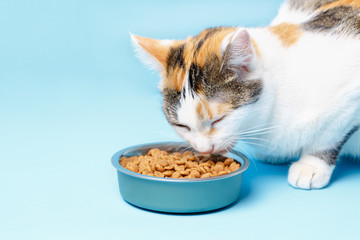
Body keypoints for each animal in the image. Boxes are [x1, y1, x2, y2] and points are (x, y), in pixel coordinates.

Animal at [131, 0, 360, 190]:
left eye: (219, 119)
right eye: (182, 126)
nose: (204, 150)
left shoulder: (350, 96)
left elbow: (328, 135)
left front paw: (311, 166)